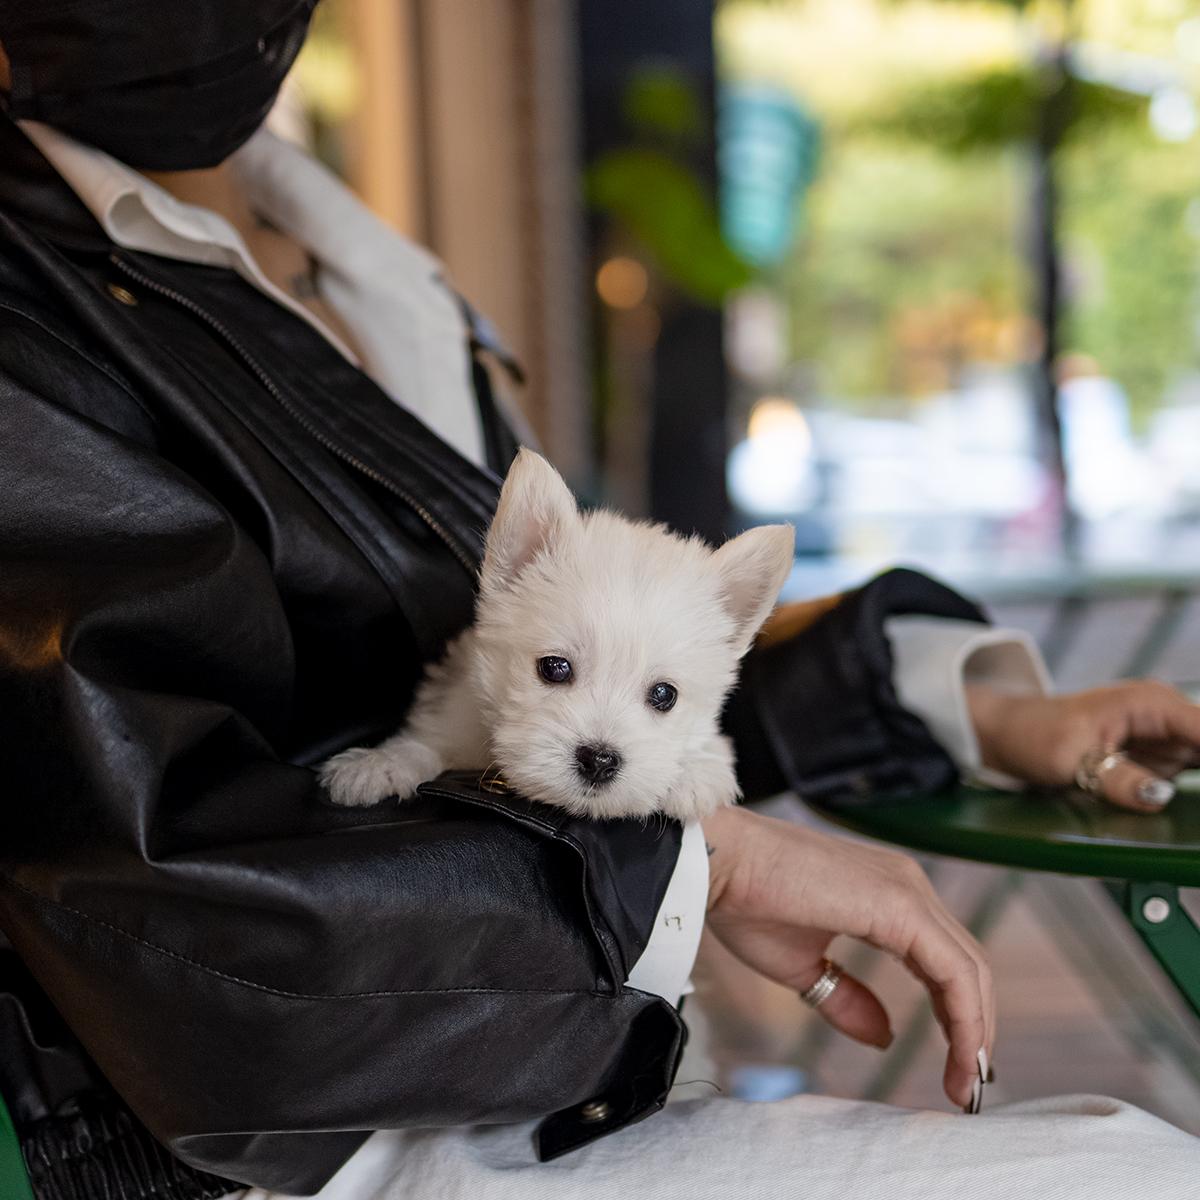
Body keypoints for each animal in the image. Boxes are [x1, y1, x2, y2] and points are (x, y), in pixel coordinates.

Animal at [316, 451, 796, 825]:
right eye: (554, 668)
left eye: (664, 695)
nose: (599, 760)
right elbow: (431, 740)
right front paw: (383, 762)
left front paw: (696, 774)